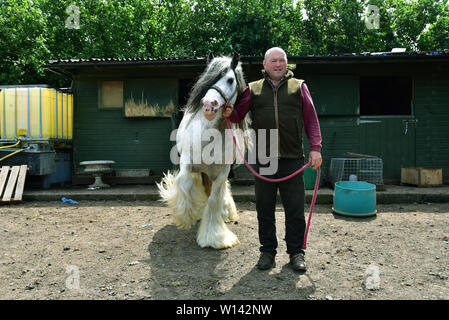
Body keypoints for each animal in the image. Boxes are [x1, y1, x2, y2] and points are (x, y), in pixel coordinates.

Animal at [157, 54, 248, 250]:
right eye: (208, 80)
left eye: (230, 80)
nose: (208, 104)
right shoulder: (187, 164)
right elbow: (183, 183)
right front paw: (186, 216)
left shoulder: (222, 173)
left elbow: (214, 199)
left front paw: (215, 237)